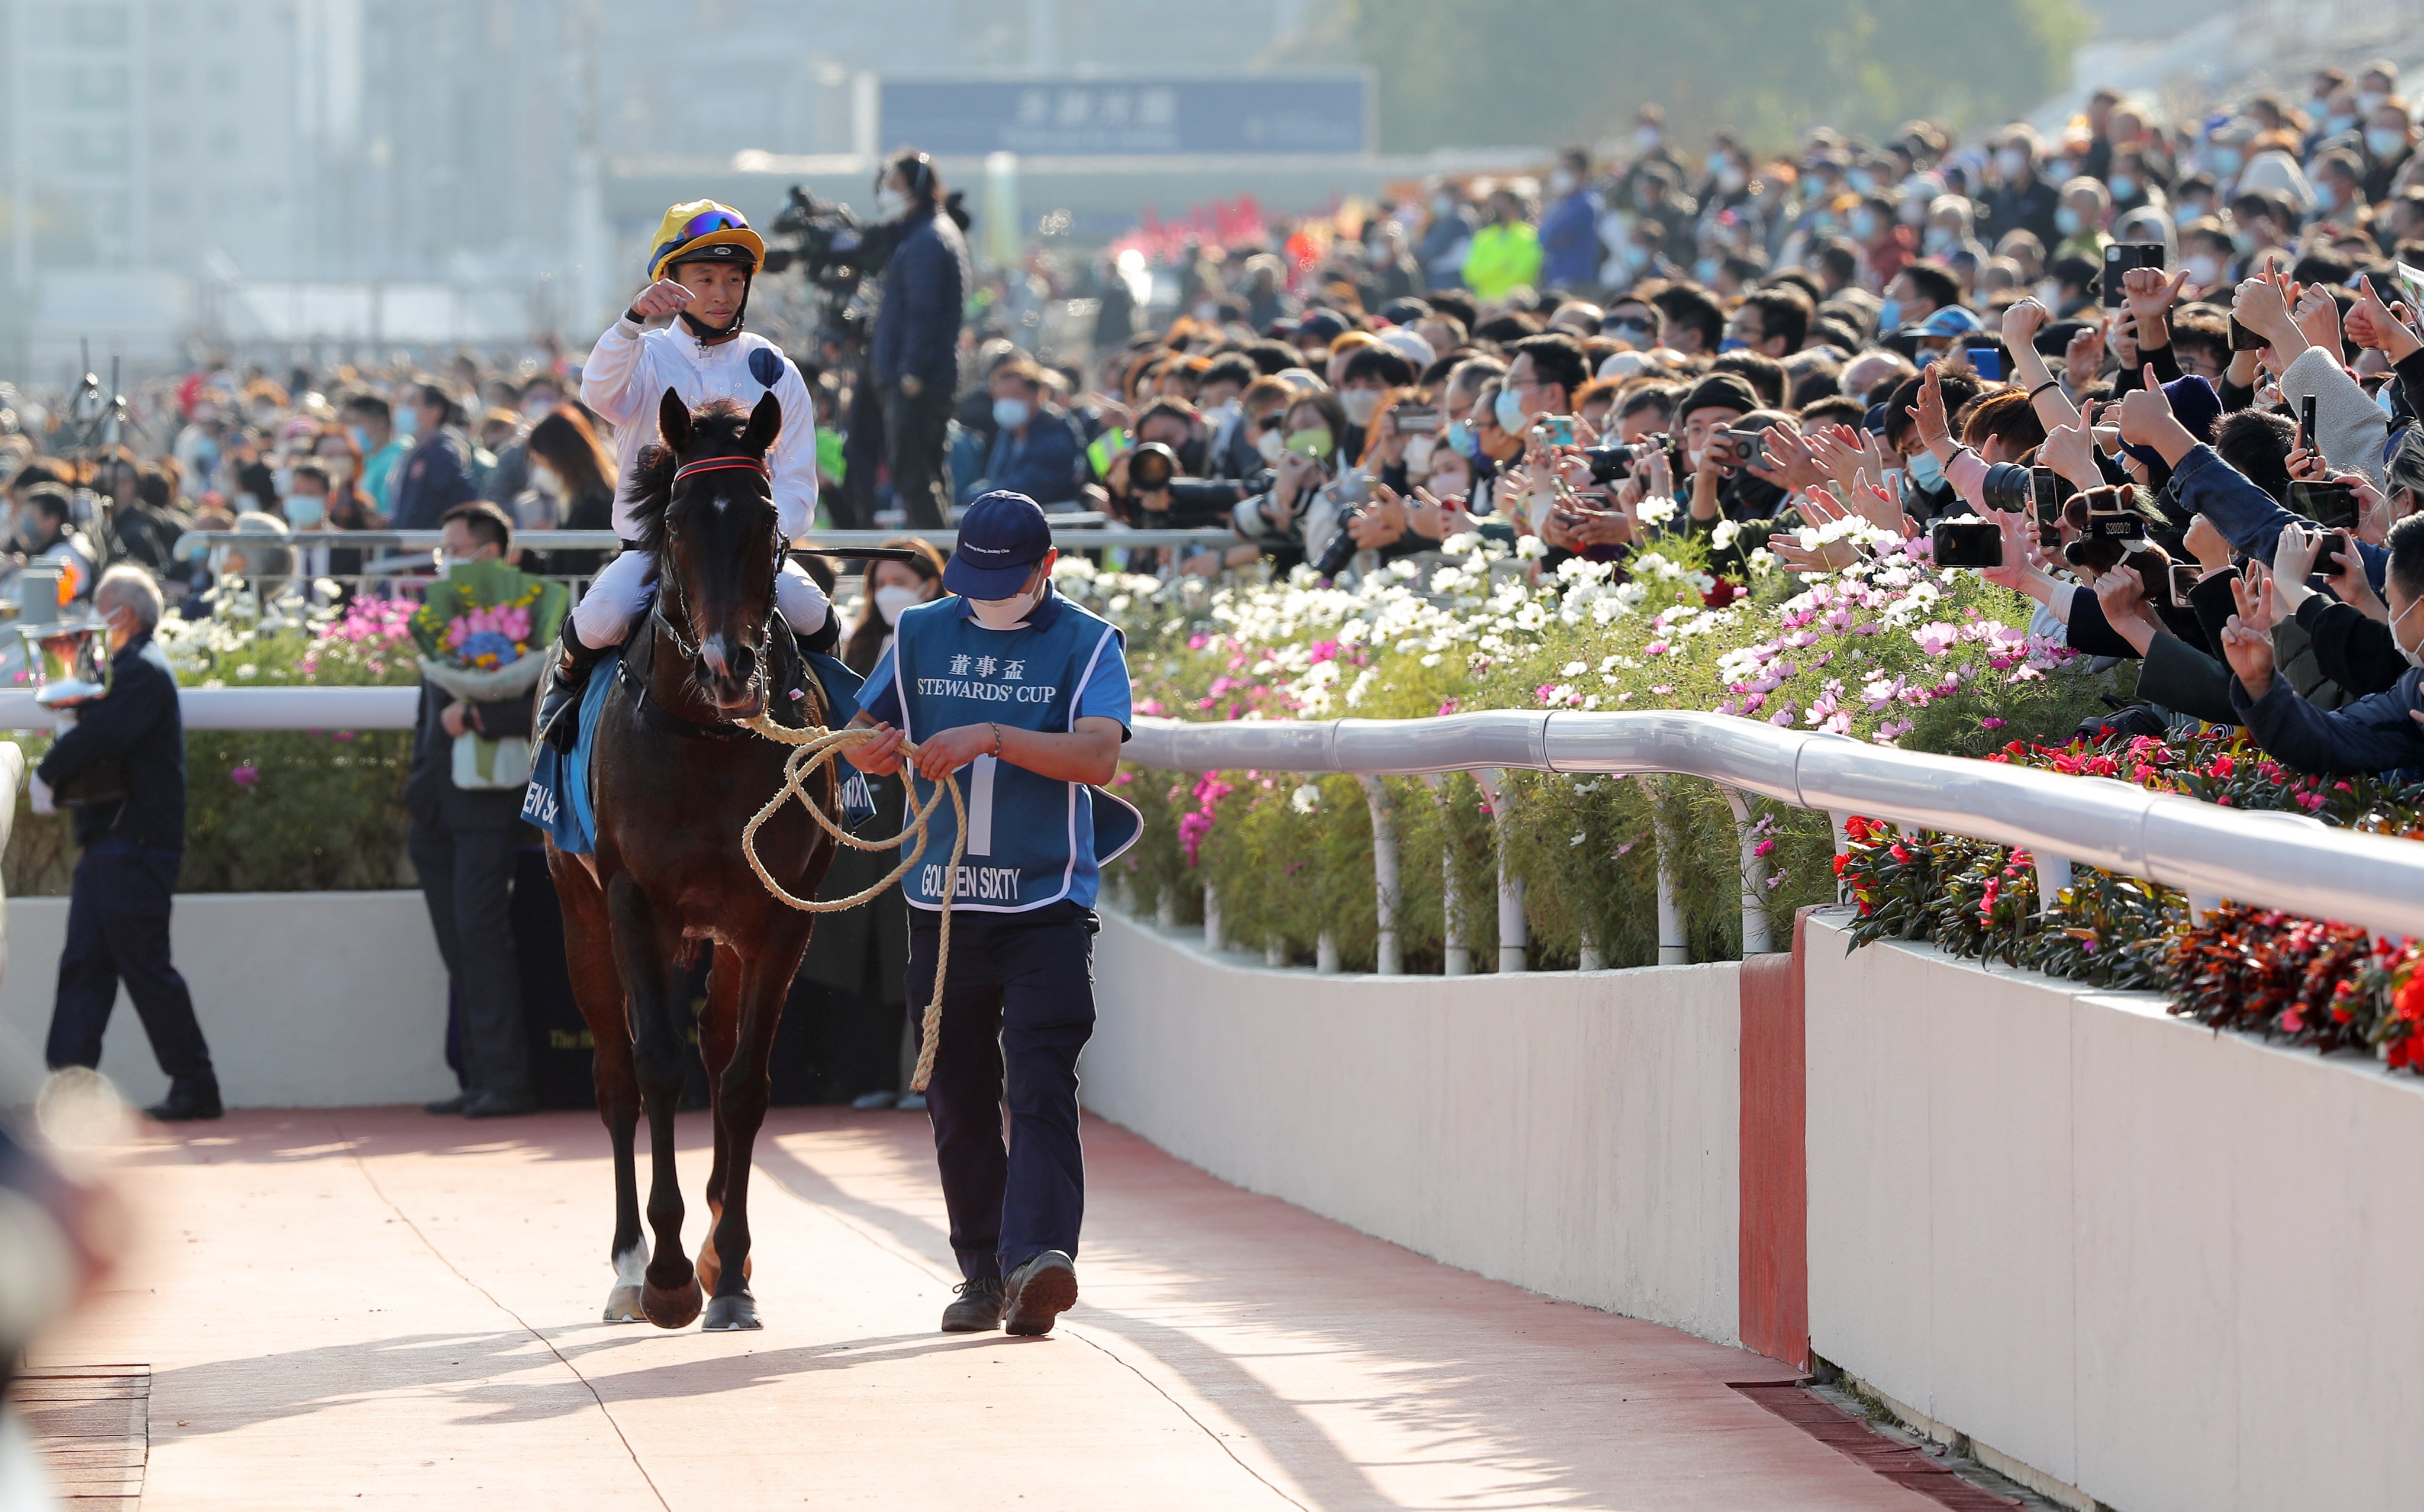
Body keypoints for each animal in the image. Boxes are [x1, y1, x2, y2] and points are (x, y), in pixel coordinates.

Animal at [545, 392, 839, 1337]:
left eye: (767, 518)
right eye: (674, 521)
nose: (728, 664)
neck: (707, 738)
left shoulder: (781, 913)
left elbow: (741, 1081)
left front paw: (729, 1267)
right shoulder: (634, 903)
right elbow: (658, 1067)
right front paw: (670, 1273)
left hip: (722, 934)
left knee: (714, 1049)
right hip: (580, 918)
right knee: (615, 1074)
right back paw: (629, 1267)